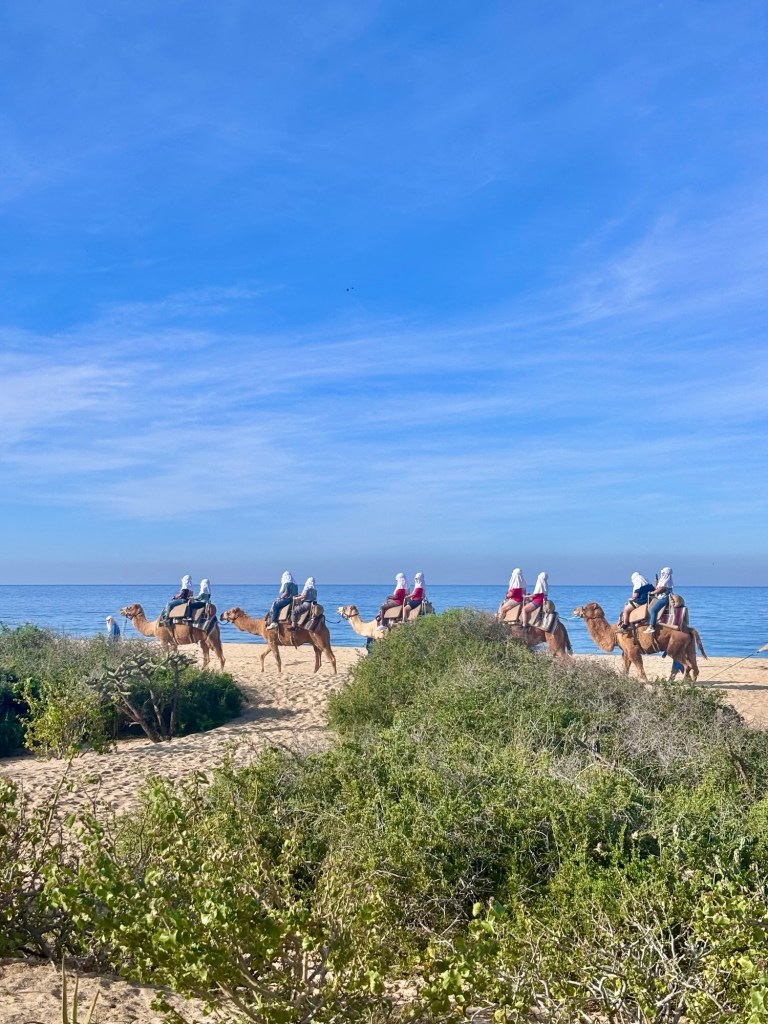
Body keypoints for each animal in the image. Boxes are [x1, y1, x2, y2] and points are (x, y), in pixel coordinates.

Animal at [572, 602, 708, 681]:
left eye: (584, 607)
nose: (574, 609)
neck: (614, 633)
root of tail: (689, 629)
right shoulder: (625, 651)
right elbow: (625, 667)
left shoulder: (632, 649)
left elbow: (639, 668)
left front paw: (646, 684)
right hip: (689, 645)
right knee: (694, 663)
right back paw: (689, 683)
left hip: (675, 644)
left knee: (686, 664)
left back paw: (682, 683)